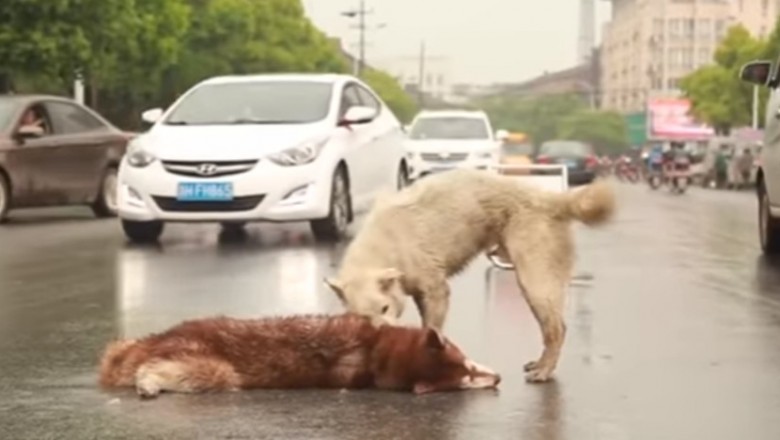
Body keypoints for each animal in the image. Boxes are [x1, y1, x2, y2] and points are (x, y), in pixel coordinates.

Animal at [324, 168, 616, 382]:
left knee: (556, 329)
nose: (385, 339)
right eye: (364, 317)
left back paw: (544, 371)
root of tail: (548, 198)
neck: (384, 247)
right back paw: (540, 364)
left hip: (533, 281)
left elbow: (431, 327)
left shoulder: (436, 290)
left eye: (385, 307)